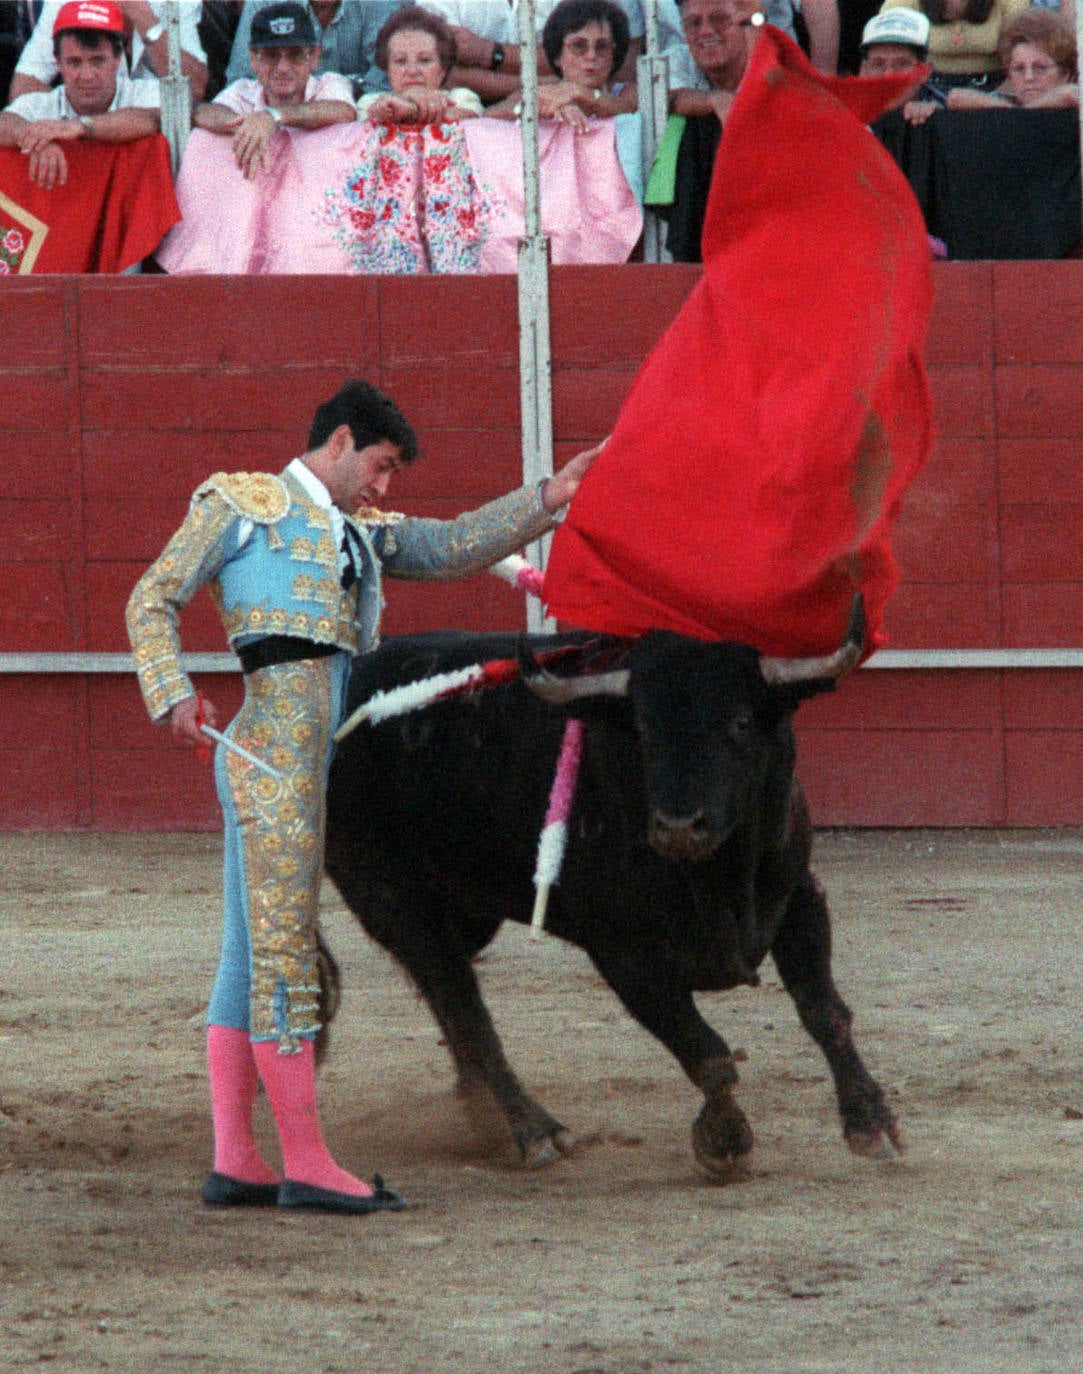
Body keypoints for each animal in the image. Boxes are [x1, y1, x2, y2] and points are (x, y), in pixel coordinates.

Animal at [325, 618, 901, 1176]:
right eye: (643, 730)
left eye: (739, 722)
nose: (678, 827)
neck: (719, 876)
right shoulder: (623, 953)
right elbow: (706, 1053)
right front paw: (726, 1140)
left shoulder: (799, 895)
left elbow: (824, 1012)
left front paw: (871, 1123)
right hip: (392, 901)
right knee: (464, 1007)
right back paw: (534, 1131)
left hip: (465, 912)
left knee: (445, 997)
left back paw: (481, 1111)